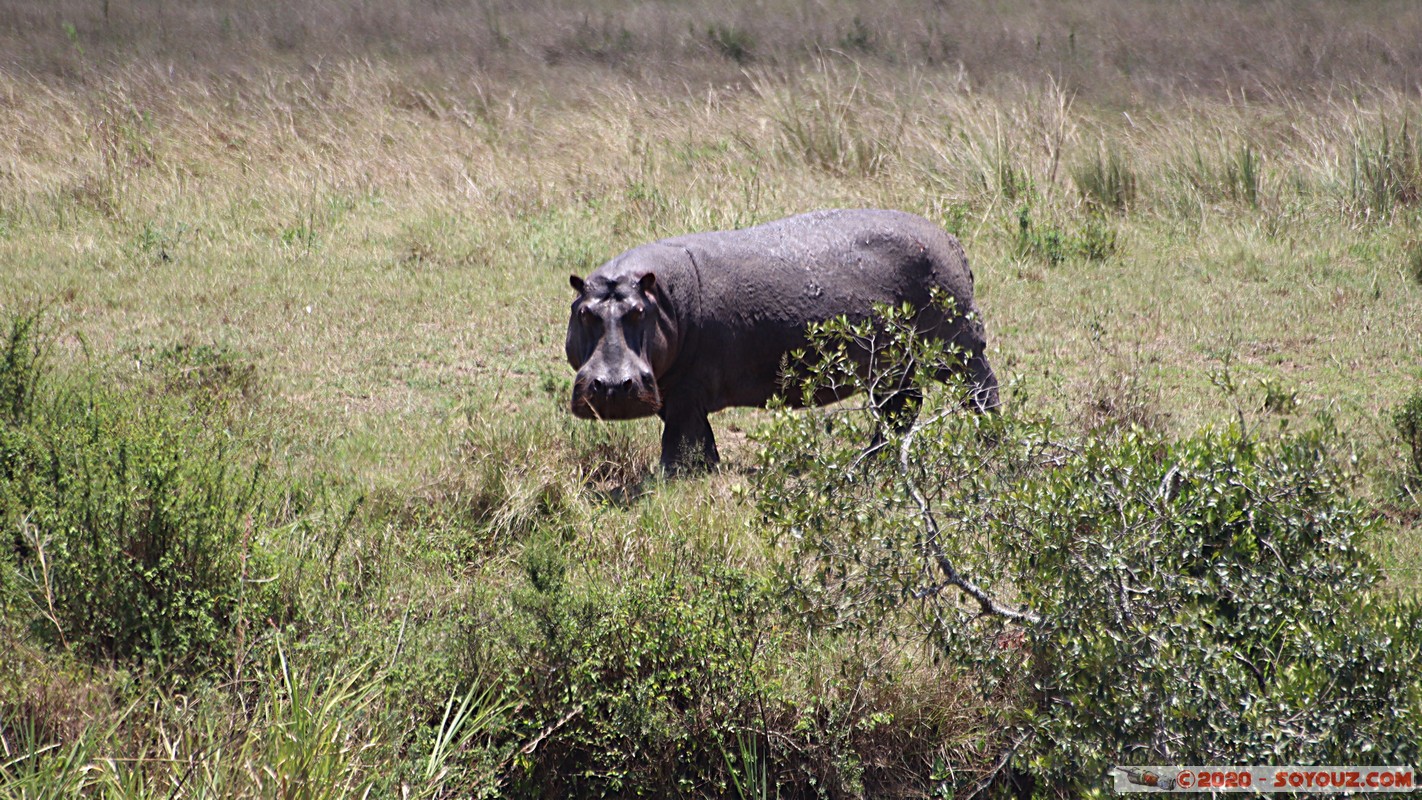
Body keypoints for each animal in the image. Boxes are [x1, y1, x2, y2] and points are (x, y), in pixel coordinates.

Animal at [565, 209, 999, 472]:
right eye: (584, 312)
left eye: (639, 312)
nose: (612, 386)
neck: (661, 298)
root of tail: (951, 242)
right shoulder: (673, 390)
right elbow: (699, 438)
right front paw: (708, 470)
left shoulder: (686, 391)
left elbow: (679, 441)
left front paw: (669, 478)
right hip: (893, 364)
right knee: (901, 407)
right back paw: (865, 464)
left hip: (959, 350)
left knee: (981, 392)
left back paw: (991, 445)